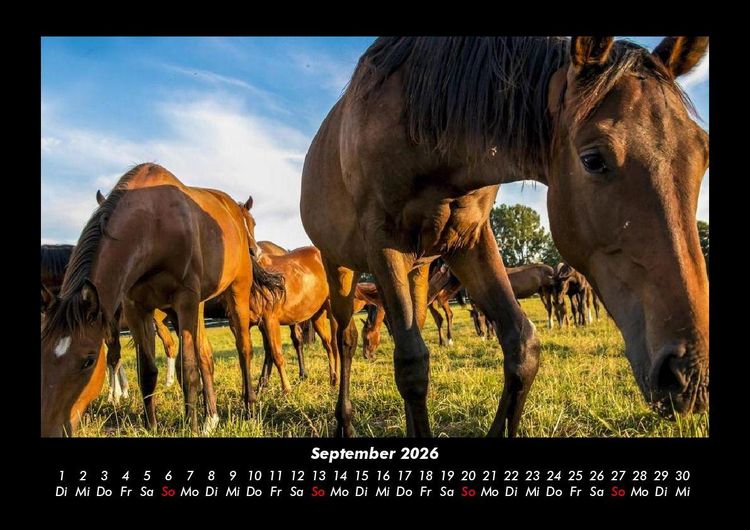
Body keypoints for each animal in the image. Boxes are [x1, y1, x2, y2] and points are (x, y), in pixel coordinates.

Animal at [42, 163, 278, 436]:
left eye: (88, 361)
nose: (50, 428)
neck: (154, 226)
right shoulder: (136, 308)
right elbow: (147, 370)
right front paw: (152, 425)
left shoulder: (185, 300)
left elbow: (188, 368)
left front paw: (190, 427)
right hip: (189, 309)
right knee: (205, 354)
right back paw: (211, 418)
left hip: (235, 292)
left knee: (243, 348)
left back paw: (249, 408)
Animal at [300, 36, 709, 437]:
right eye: (593, 160)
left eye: (703, 152)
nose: (690, 376)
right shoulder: (383, 243)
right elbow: (412, 364)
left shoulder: (470, 241)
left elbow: (522, 347)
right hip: (340, 267)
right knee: (346, 338)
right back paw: (344, 423)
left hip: (417, 269)